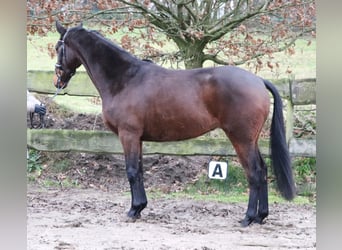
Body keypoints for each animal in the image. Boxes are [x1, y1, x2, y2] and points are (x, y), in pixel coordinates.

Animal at [52, 21, 294, 227]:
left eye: (57, 47)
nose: (58, 80)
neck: (125, 79)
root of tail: (258, 81)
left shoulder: (128, 135)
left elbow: (131, 171)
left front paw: (132, 211)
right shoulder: (138, 138)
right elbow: (140, 170)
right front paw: (140, 207)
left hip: (241, 138)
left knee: (254, 172)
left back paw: (248, 218)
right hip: (251, 140)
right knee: (263, 170)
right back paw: (261, 217)